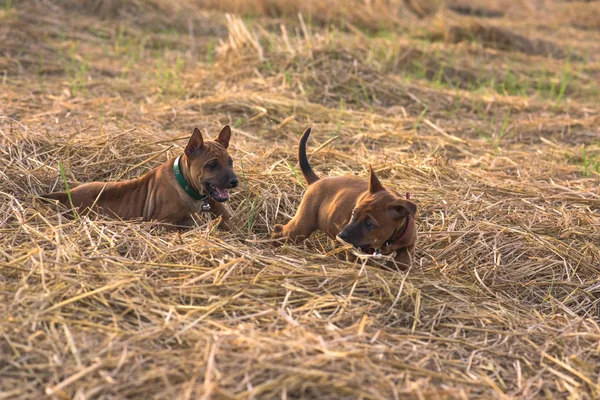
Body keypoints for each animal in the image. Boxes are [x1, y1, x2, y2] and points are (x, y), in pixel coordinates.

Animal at [42, 126, 238, 230]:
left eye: (230, 162)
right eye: (212, 165)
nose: (235, 181)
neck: (185, 183)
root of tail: (65, 194)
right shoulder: (161, 222)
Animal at [274, 126, 418, 268]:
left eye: (369, 224)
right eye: (353, 213)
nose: (341, 235)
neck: (389, 240)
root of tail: (316, 181)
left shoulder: (409, 243)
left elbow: (403, 260)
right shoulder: (353, 247)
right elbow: (355, 256)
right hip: (301, 226)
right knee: (281, 230)